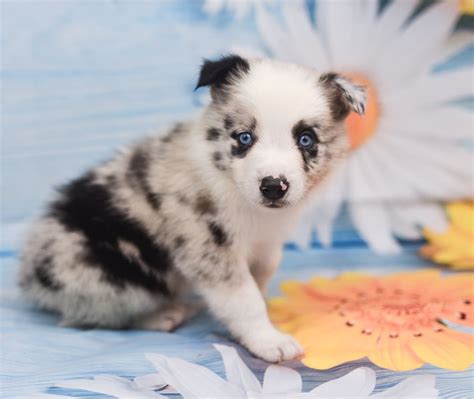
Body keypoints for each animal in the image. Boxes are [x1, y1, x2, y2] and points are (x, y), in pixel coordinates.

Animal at [19, 54, 366, 364]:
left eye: (306, 140)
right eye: (244, 137)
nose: (272, 186)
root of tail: (29, 279)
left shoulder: (266, 244)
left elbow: (261, 278)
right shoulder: (209, 248)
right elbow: (244, 299)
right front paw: (268, 340)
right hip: (111, 275)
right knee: (91, 316)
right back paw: (163, 315)